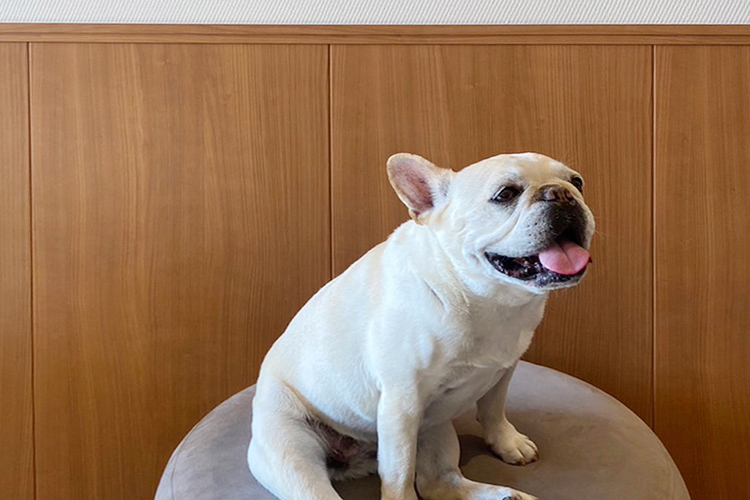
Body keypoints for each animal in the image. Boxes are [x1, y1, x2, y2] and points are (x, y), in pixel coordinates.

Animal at [248, 152, 594, 500]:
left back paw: (507, 496)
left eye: (577, 182)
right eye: (505, 194)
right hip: (292, 450)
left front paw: (507, 442)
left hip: (436, 427)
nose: (561, 193)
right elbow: (400, 475)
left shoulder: (504, 369)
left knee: (438, 482)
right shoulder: (402, 403)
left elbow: (494, 408)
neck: (485, 299)